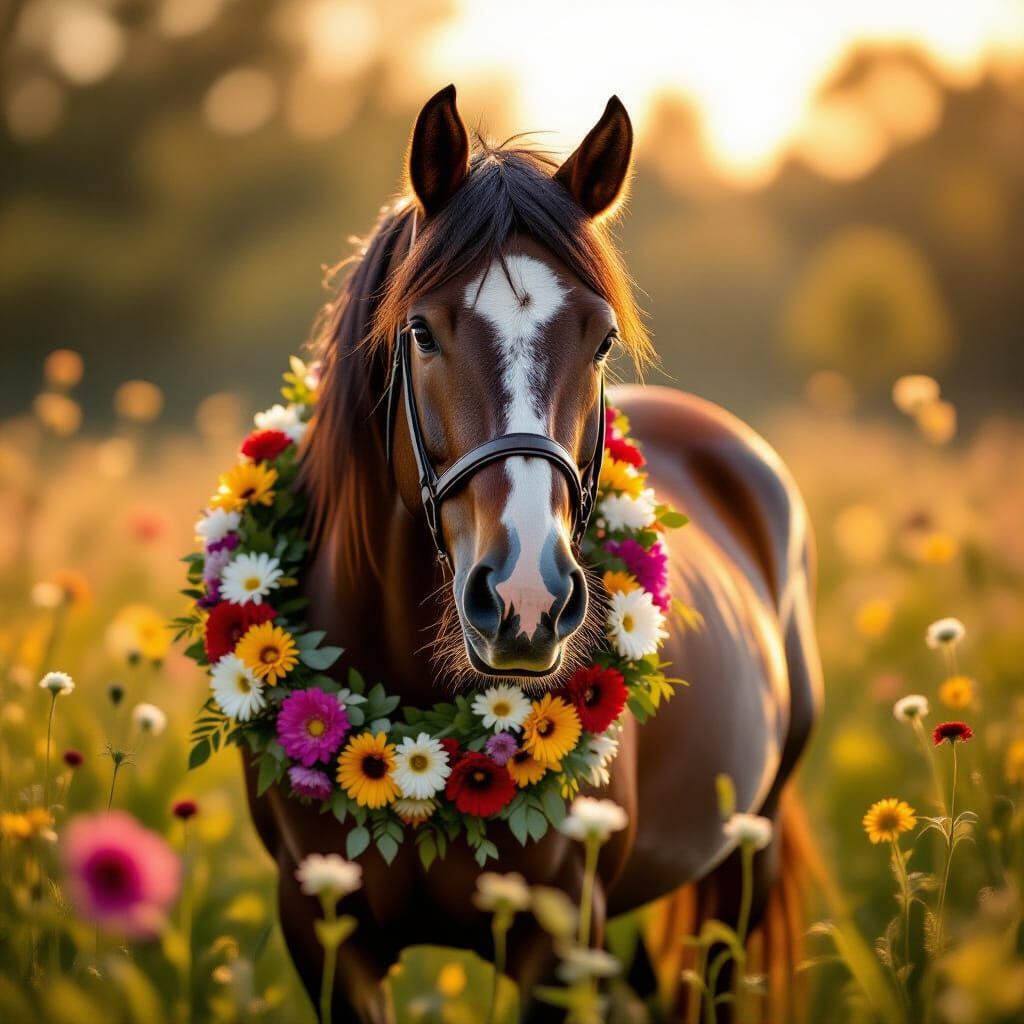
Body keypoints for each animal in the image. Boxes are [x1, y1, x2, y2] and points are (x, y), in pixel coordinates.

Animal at [242, 85, 823, 1022]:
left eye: (602, 339)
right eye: (422, 331)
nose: (525, 600)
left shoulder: (560, 936)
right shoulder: (322, 928)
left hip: (746, 859)